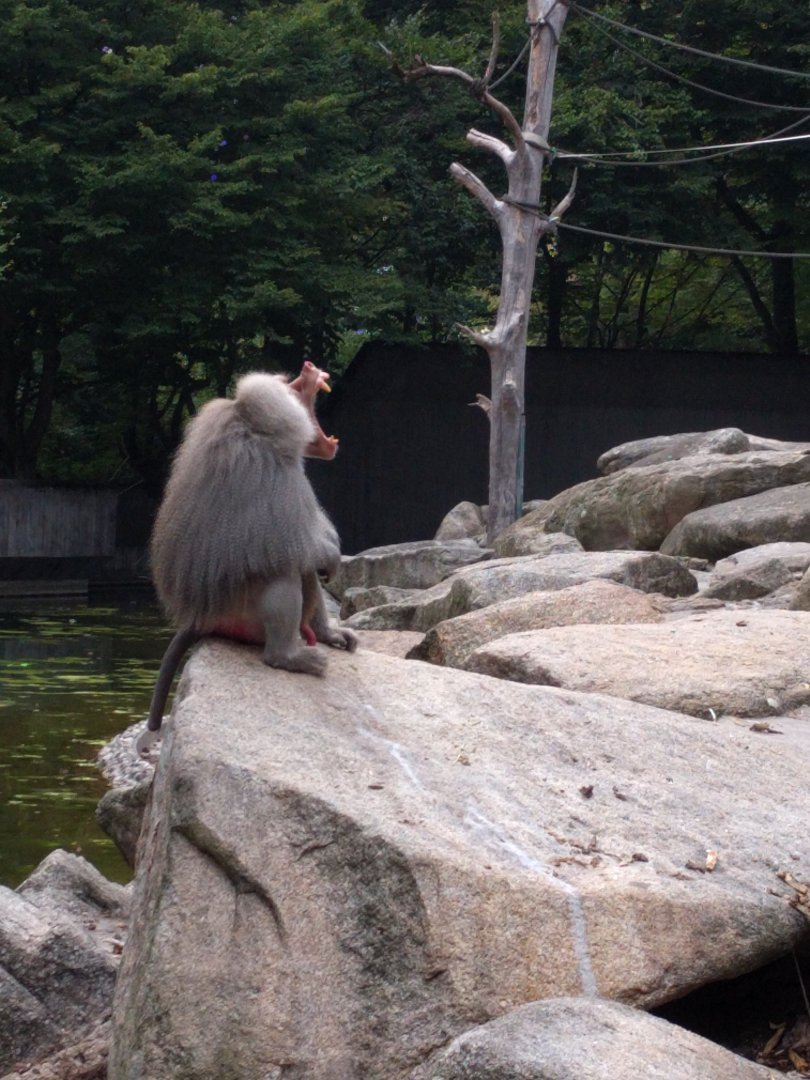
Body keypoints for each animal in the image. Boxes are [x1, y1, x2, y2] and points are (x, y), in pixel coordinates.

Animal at [135, 361, 357, 756]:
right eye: (289, 383)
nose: (308, 366)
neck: (252, 420)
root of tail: (200, 617)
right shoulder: (275, 471)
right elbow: (294, 541)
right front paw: (332, 557)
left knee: (300, 571)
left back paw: (326, 635)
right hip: (239, 613)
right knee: (283, 571)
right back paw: (289, 658)